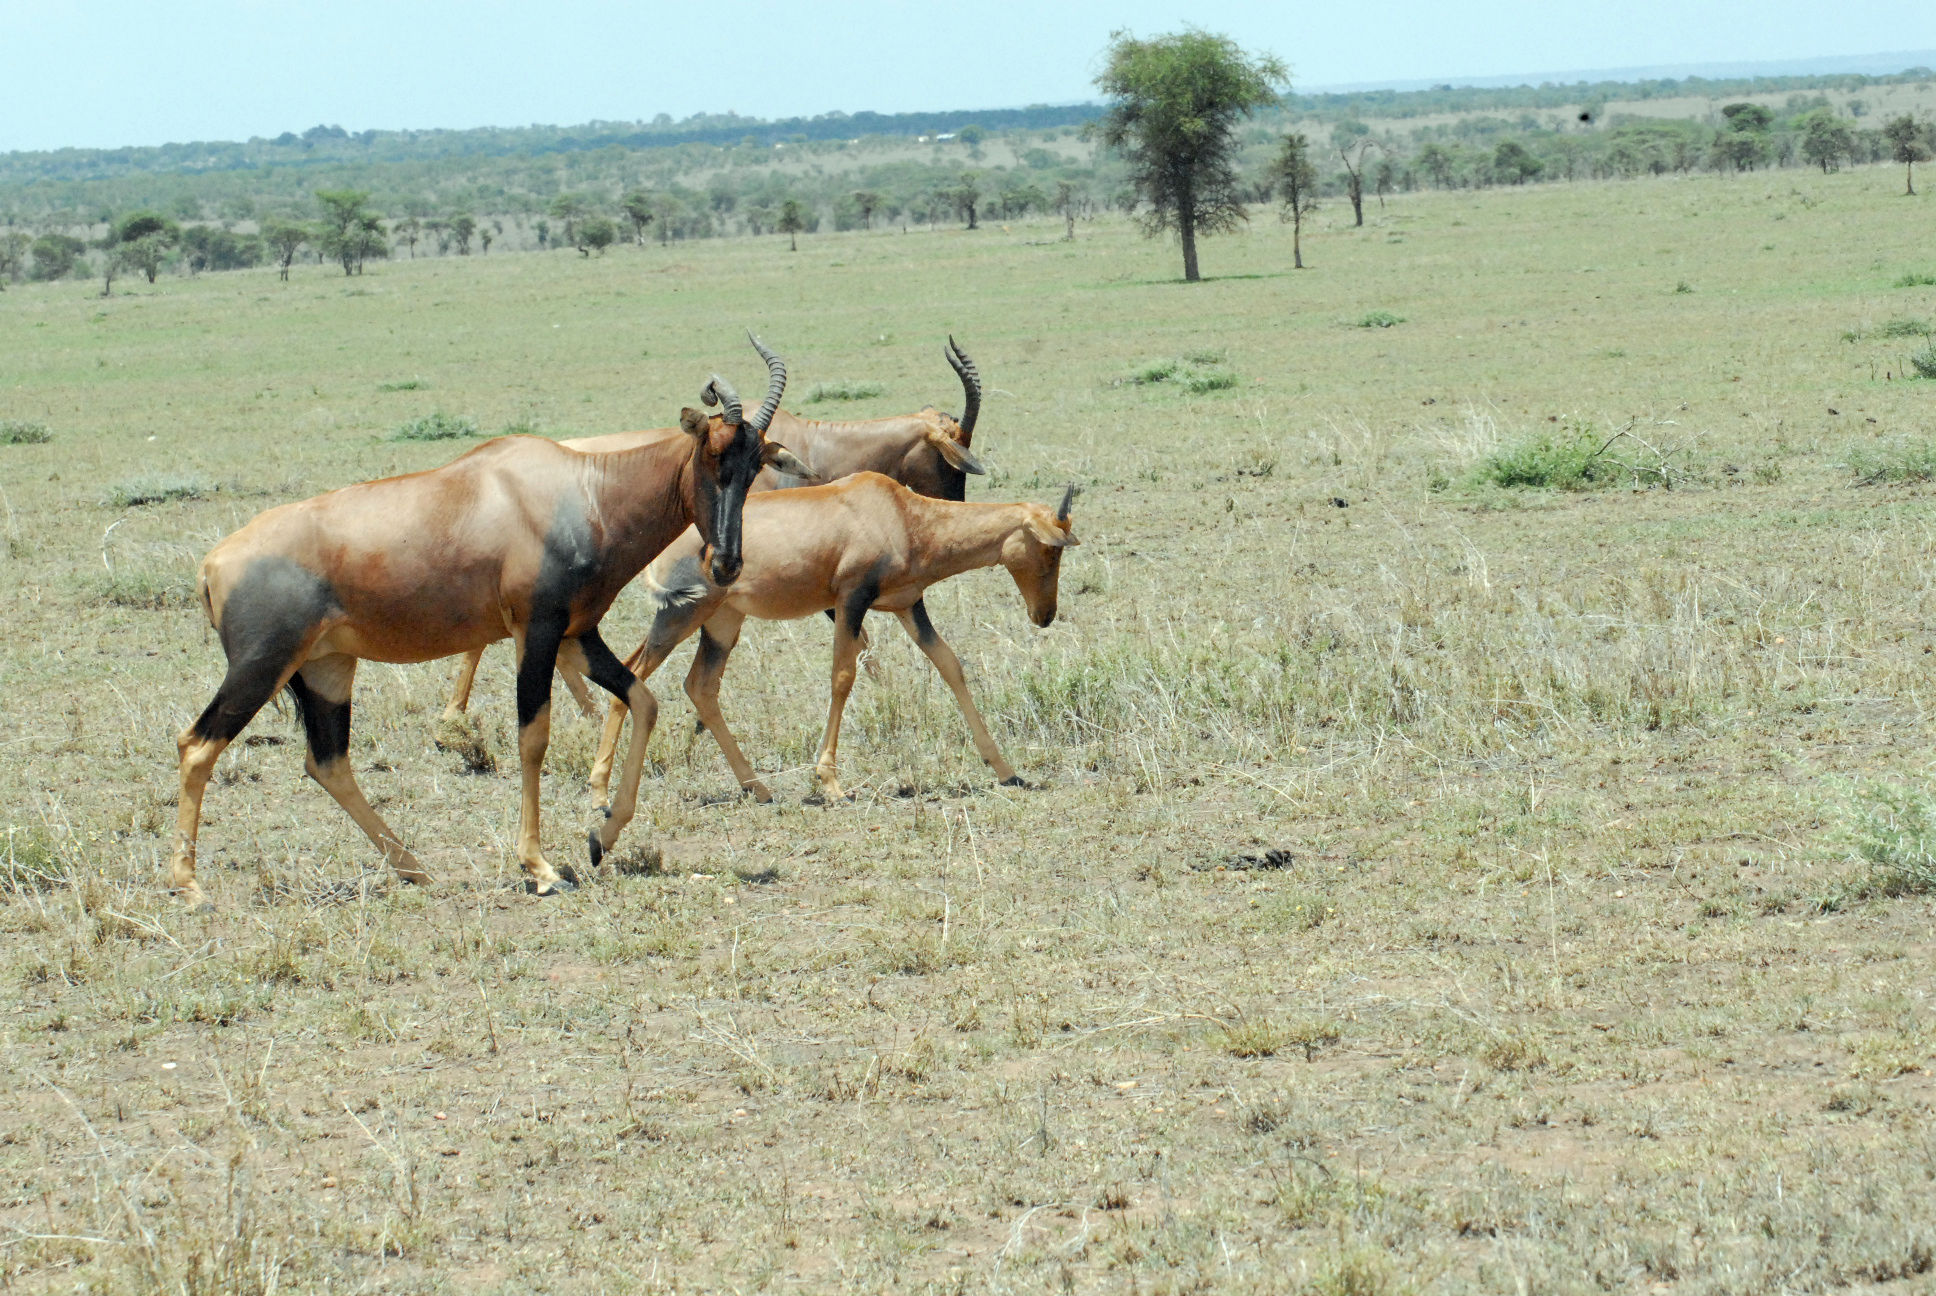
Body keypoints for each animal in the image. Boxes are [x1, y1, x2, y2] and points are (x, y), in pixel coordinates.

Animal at [162, 333, 805, 898]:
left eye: (755, 466)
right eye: (711, 456)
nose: (726, 564)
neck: (580, 490)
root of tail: (213, 564)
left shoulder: (576, 634)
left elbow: (642, 700)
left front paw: (601, 836)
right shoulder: (535, 632)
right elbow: (533, 736)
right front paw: (540, 869)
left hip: (326, 668)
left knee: (327, 762)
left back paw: (416, 869)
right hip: (261, 665)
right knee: (197, 745)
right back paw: (192, 888)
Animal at [588, 470, 1076, 802]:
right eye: (1050, 549)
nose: (1044, 615)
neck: (898, 512)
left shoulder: (908, 606)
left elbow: (950, 665)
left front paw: (1006, 769)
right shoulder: (850, 601)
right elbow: (843, 677)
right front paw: (831, 782)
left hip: (721, 623)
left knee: (700, 687)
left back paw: (758, 788)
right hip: (681, 615)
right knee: (634, 673)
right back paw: (598, 792)